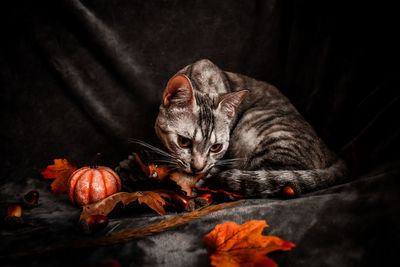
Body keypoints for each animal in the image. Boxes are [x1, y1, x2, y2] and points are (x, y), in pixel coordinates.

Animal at [152, 59, 346, 198]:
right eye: (183, 141)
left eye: (216, 147)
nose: (198, 168)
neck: (201, 80)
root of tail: (332, 154)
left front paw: (203, 179)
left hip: (258, 124)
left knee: (283, 181)